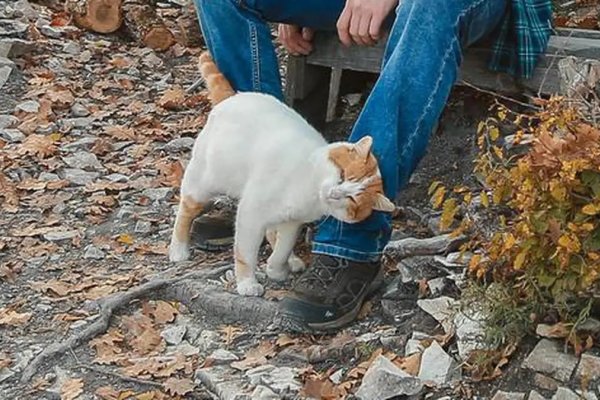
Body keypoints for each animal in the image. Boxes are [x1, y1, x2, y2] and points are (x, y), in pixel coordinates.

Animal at [169, 52, 396, 296]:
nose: (334, 193)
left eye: (353, 199)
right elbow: (246, 253)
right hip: (203, 184)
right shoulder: (250, 215)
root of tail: (234, 96)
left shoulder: (293, 223)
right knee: (185, 211)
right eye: (343, 174)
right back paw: (178, 250)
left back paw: (292, 260)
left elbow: (283, 247)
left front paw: (276, 268)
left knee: (272, 233)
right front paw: (247, 282)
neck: (309, 188)